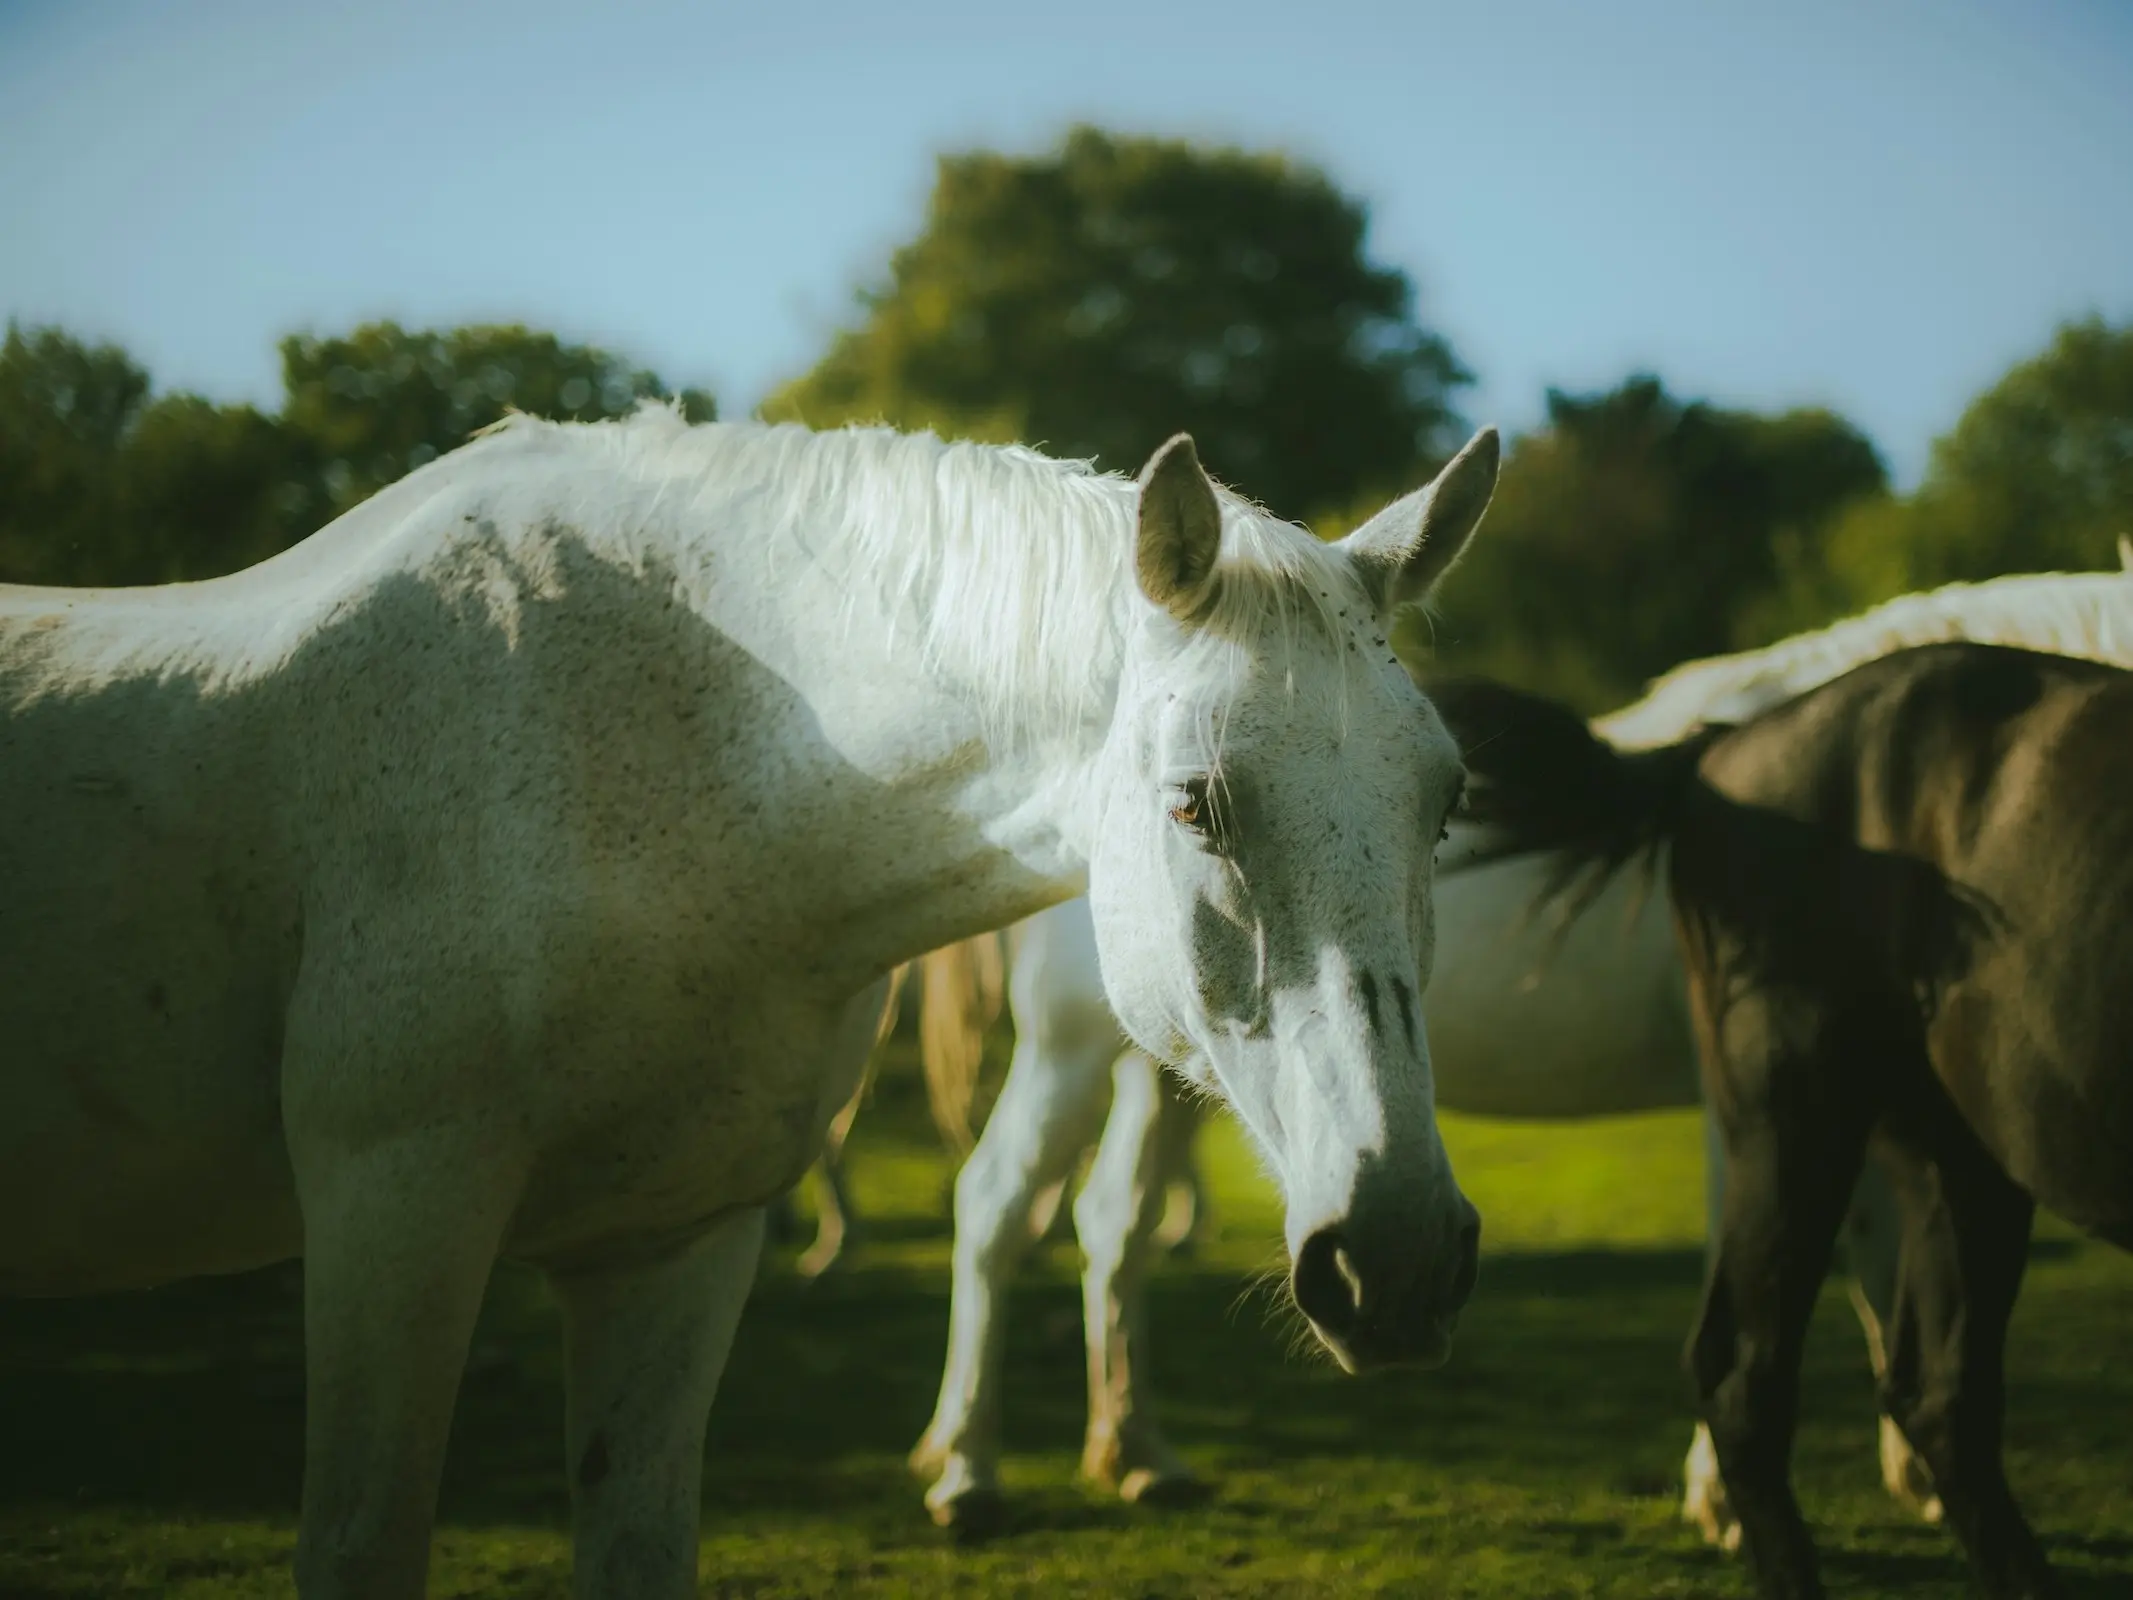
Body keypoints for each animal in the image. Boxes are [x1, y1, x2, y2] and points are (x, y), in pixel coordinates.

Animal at [0, 407, 1501, 1595]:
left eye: (1448, 800)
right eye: (1197, 804)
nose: (1401, 1260)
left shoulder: (679, 1241)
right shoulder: (392, 1212)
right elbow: (365, 1540)